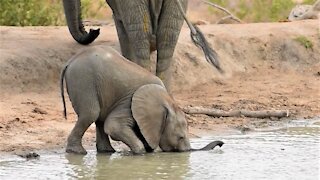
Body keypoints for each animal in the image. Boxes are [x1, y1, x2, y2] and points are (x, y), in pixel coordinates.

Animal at [61, 45, 224, 154]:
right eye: (180, 137)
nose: (221, 144)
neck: (166, 100)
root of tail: (70, 61)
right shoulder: (129, 103)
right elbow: (113, 126)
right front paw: (141, 152)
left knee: (99, 119)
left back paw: (107, 152)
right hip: (83, 80)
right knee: (91, 114)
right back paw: (78, 152)